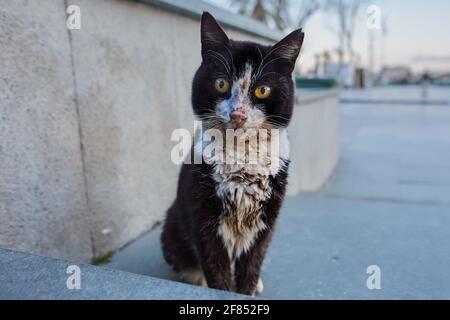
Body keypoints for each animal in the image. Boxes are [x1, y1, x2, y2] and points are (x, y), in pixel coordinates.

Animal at [160, 12, 304, 298]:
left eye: (262, 90)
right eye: (221, 83)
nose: (238, 114)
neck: (243, 156)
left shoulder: (266, 220)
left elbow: (252, 264)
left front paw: (247, 289)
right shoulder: (204, 217)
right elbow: (216, 268)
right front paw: (223, 291)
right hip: (171, 227)